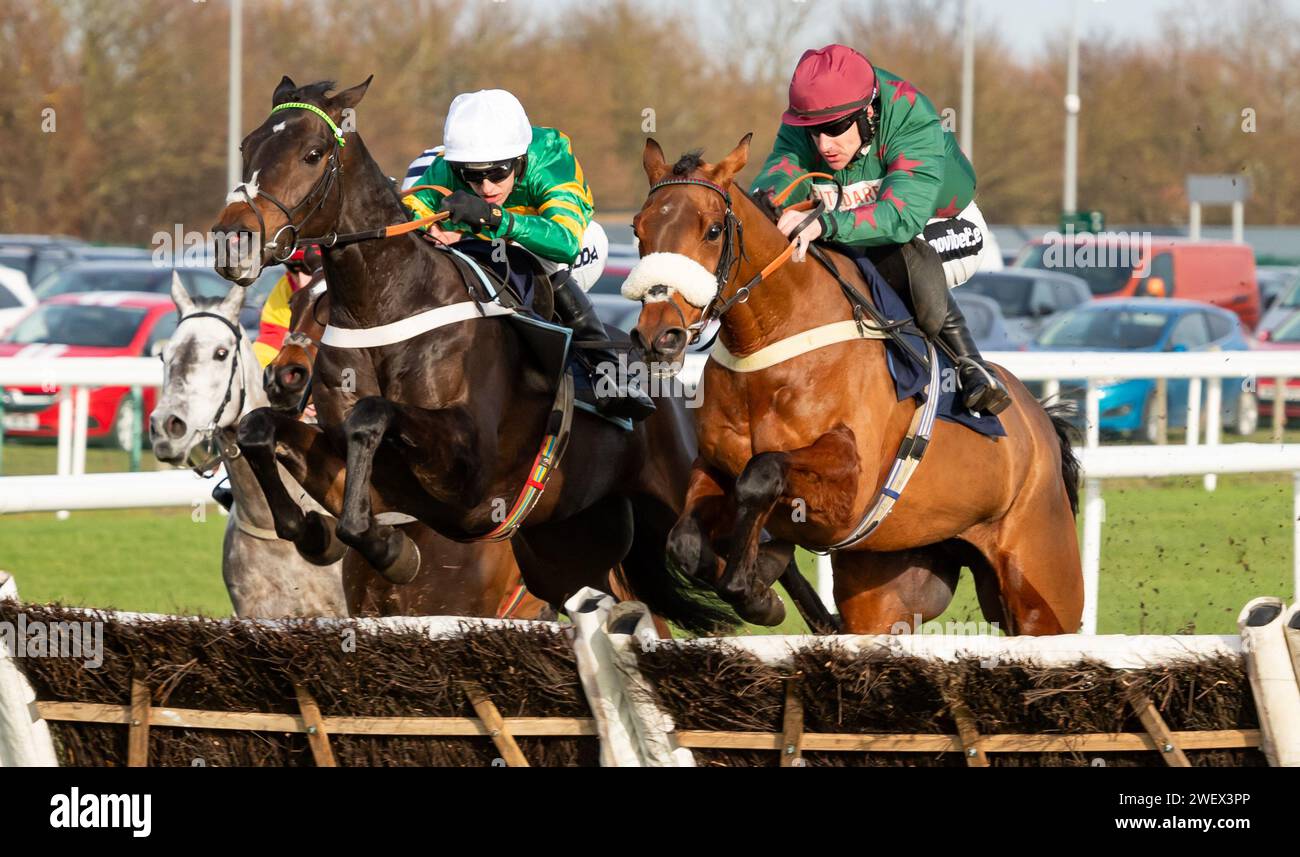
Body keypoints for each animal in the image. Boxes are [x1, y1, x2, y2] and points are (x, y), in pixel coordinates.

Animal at [629, 137, 1086, 637]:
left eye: (713, 230)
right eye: (638, 229)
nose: (659, 336)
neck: (774, 341)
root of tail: (1040, 423)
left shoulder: (851, 486)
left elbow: (762, 473)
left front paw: (755, 583)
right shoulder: (712, 466)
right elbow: (684, 540)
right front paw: (761, 587)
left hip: (1042, 590)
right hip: (885, 590)